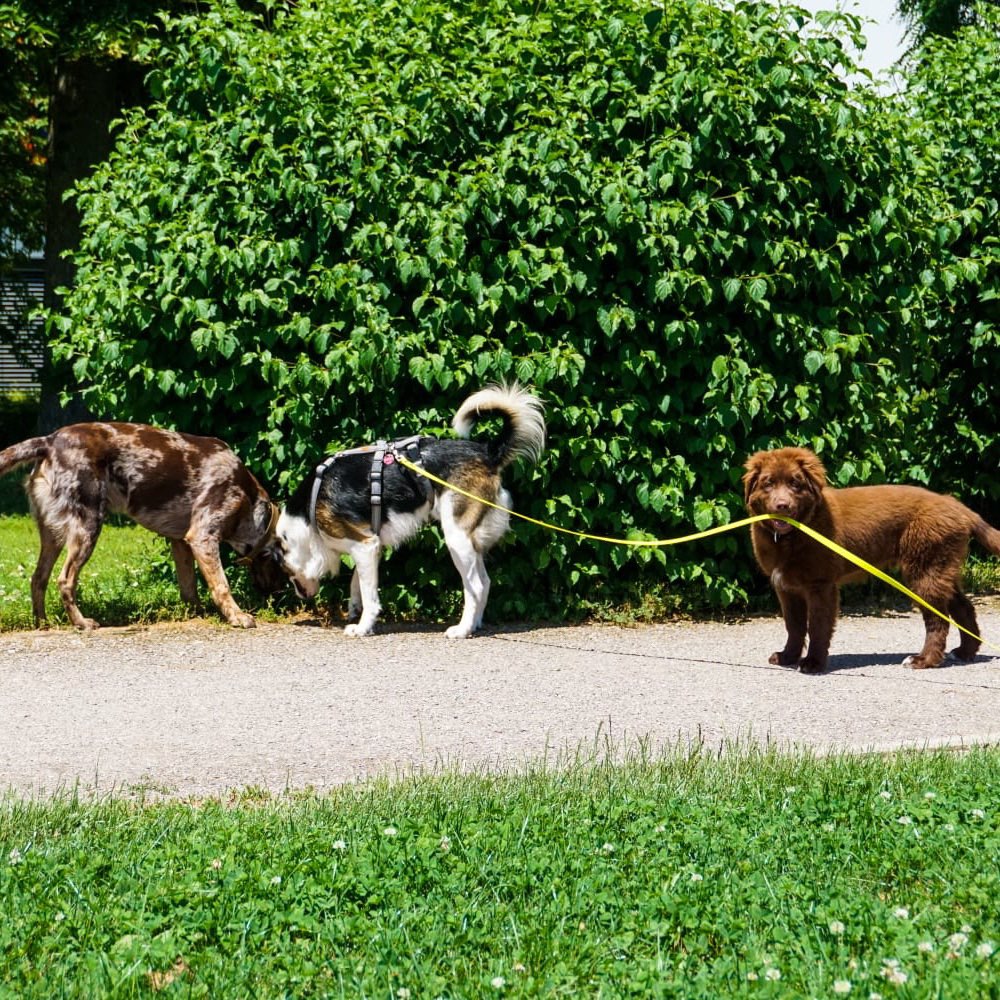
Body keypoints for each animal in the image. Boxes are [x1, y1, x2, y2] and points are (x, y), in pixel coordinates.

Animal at [0, 420, 282, 624]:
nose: (275, 595)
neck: (248, 501)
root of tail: (49, 440)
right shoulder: (203, 537)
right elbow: (221, 585)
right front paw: (237, 616)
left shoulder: (181, 543)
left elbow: (189, 586)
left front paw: (198, 613)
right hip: (87, 528)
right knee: (65, 581)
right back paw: (81, 623)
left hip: (52, 535)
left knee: (38, 578)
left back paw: (42, 622)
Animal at [266, 386, 544, 636]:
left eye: (286, 572)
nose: (300, 596)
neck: (308, 513)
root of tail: (488, 452)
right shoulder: (370, 545)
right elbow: (357, 582)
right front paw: (355, 608)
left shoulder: (363, 545)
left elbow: (370, 596)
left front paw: (363, 627)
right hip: (470, 541)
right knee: (484, 583)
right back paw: (475, 625)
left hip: (456, 538)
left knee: (474, 586)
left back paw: (462, 630)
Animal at [740, 450, 1000, 676]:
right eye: (768, 483)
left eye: (796, 484)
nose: (782, 505)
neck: (794, 534)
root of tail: (958, 506)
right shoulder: (786, 586)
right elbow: (793, 625)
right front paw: (787, 657)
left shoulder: (820, 584)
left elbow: (817, 625)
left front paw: (813, 663)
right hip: (941, 566)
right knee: (963, 607)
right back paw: (965, 652)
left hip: (925, 568)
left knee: (938, 619)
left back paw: (923, 660)